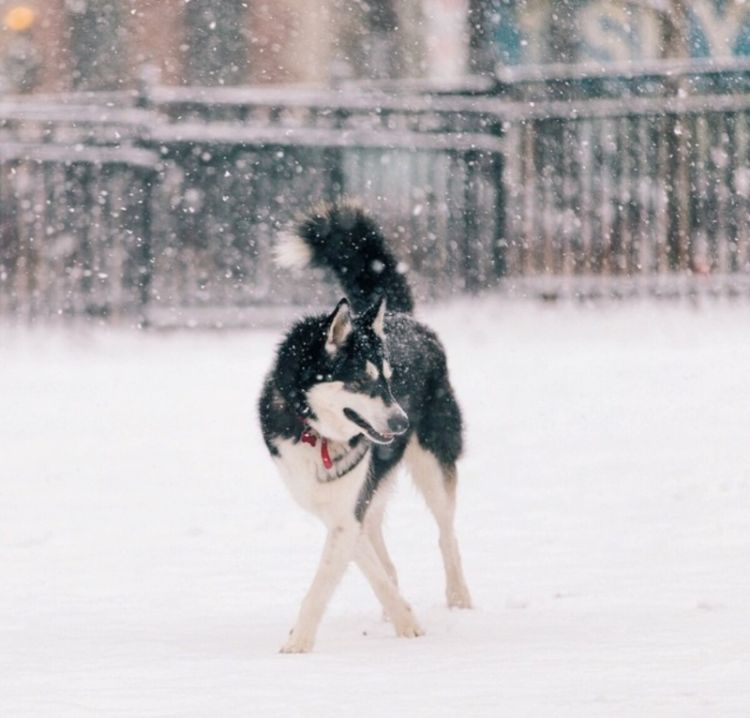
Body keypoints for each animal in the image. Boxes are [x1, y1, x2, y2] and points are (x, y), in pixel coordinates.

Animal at [258, 201, 470, 652]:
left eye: (389, 380)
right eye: (362, 381)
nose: (403, 421)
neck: (316, 432)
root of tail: (405, 317)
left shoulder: (345, 510)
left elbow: (323, 585)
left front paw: (297, 645)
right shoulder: (332, 505)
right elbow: (371, 566)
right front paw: (402, 615)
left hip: (434, 463)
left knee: (447, 534)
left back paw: (460, 600)